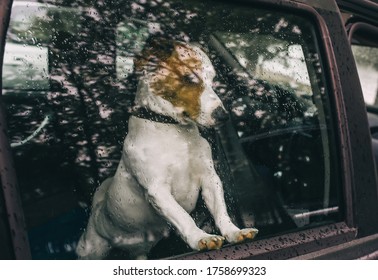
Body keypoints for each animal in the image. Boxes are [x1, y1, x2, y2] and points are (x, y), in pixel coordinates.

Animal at [75, 37, 258, 260]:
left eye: (213, 79)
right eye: (189, 77)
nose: (223, 116)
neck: (174, 133)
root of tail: (98, 207)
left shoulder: (210, 178)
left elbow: (220, 211)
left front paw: (233, 231)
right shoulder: (157, 190)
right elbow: (183, 217)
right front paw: (200, 237)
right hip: (91, 249)